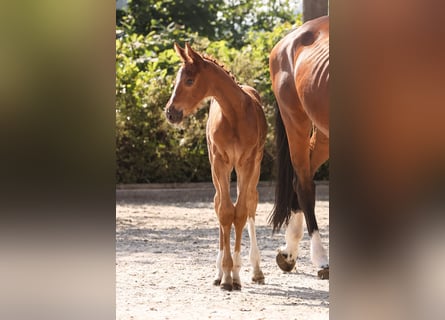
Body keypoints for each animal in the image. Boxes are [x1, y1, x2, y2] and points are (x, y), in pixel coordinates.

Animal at [164, 42, 266, 290]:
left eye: (189, 80)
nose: (170, 113)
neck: (235, 115)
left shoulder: (247, 163)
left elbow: (241, 212)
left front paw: (236, 274)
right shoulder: (220, 162)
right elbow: (225, 211)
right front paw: (227, 274)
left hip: (253, 167)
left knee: (251, 202)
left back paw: (256, 270)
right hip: (216, 167)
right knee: (218, 203)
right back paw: (220, 272)